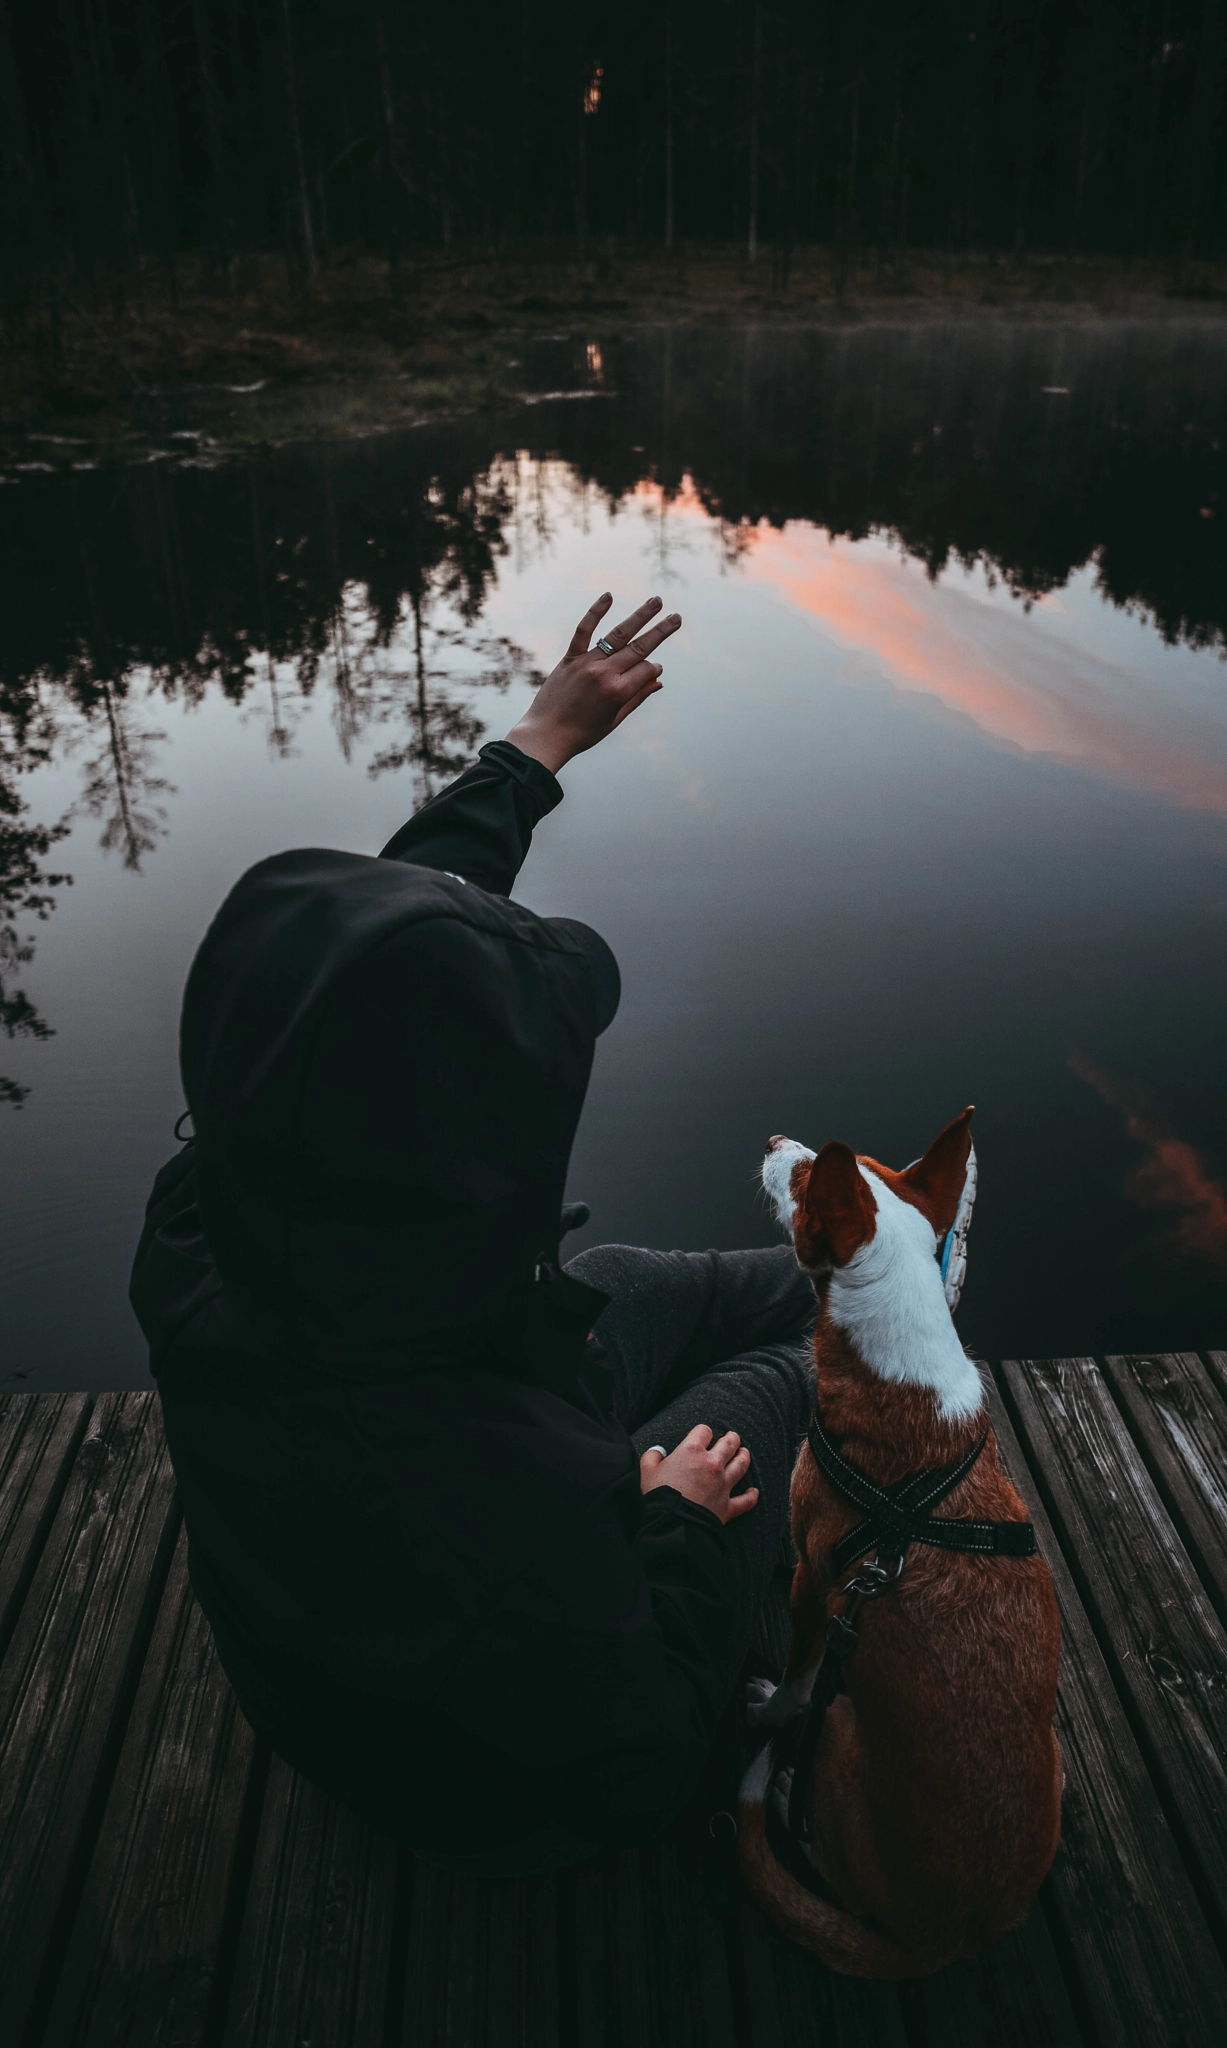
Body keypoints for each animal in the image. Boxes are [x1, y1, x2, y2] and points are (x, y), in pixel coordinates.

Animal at [737, 1114, 1065, 1974]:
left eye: (802, 1182)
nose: (774, 1138)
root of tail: (943, 1940)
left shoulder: (815, 1585)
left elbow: (798, 1672)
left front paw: (769, 1704)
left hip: (842, 1735)